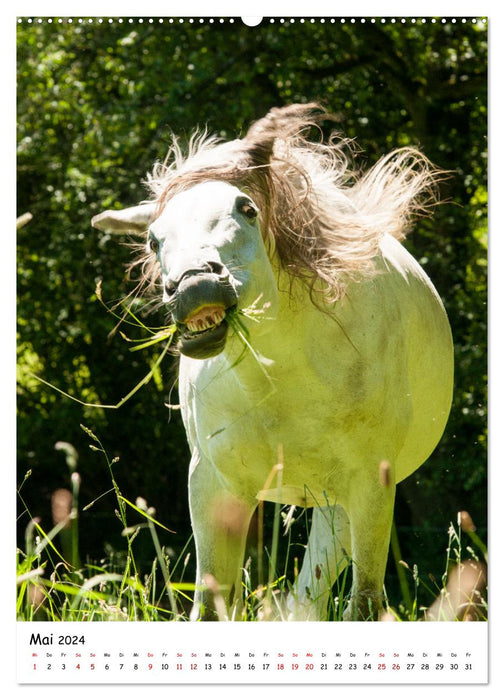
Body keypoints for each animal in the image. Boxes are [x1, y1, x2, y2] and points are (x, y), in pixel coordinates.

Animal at [92, 102, 454, 616]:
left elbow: (364, 602)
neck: (283, 374)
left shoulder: (370, 485)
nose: (195, 285)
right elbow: (212, 606)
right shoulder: (214, 485)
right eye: (153, 240)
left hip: (343, 504)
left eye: (247, 209)